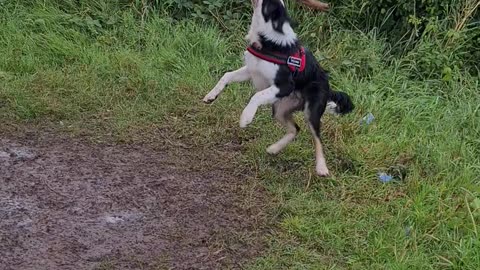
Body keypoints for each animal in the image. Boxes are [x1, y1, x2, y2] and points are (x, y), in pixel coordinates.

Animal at [202, 0, 352, 176]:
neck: (267, 40)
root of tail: (328, 87)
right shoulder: (252, 70)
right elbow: (226, 75)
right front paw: (211, 96)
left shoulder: (284, 85)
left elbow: (257, 96)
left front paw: (246, 117)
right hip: (280, 109)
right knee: (295, 129)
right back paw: (274, 149)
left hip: (311, 111)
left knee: (317, 138)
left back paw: (321, 168)